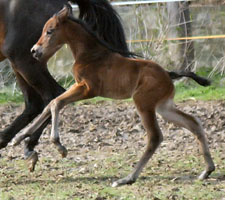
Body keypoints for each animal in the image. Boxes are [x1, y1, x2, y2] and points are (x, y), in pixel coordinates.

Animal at [0, 0, 130, 170]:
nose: (34, 50)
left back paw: (26, 144)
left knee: (49, 96)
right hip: (21, 61)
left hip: (22, 58)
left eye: (49, 31)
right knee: (36, 103)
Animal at [13, 6, 215, 188]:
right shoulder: (77, 85)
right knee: (193, 123)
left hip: (143, 104)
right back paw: (207, 171)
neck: (90, 55)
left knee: (155, 137)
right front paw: (20, 138)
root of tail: (168, 74)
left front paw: (59, 146)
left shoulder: (88, 89)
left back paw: (127, 178)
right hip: (164, 107)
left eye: (49, 31)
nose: (34, 51)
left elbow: (56, 103)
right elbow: (51, 104)